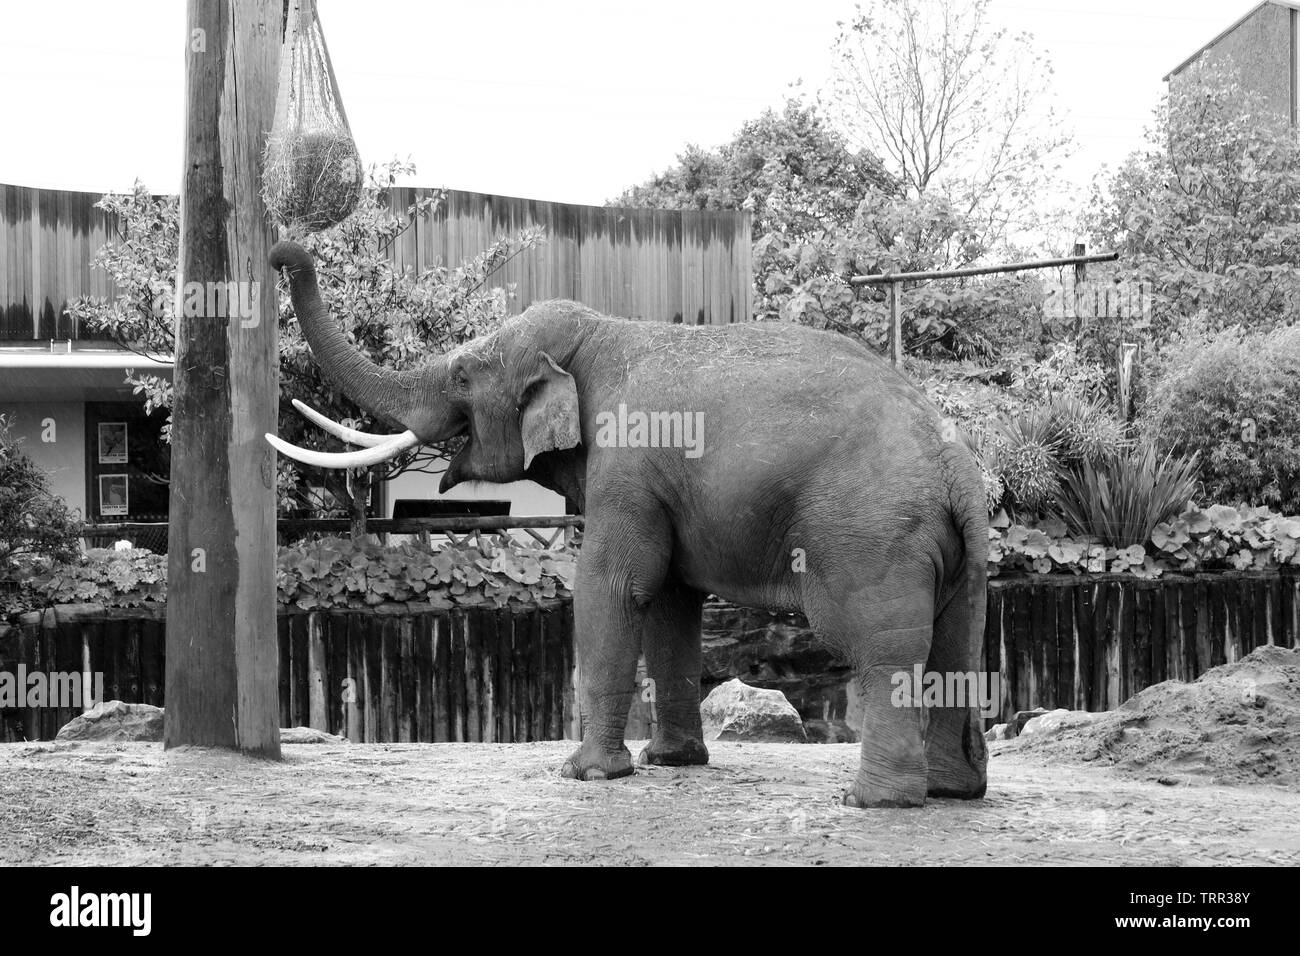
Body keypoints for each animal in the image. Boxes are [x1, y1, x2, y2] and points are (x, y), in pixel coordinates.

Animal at [269, 239, 987, 806]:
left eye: (464, 374)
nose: (281, 253)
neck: (598, 332)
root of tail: (955, 463)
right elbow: (670, 601)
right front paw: (669, 762)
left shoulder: (627, 463)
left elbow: (612, 585)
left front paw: (587, 774)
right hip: (955, 552)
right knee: (956, 645)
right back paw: (952, 790)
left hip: (871, 537)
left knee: (879, 646)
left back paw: (874, 800)